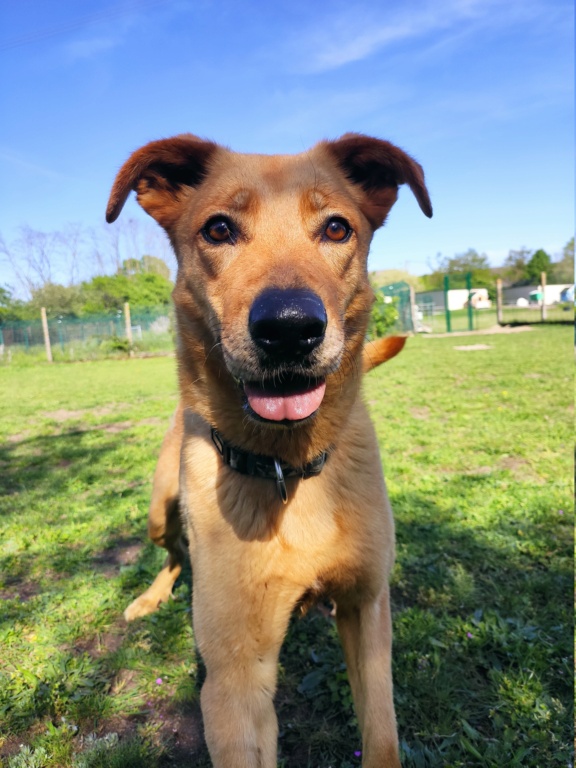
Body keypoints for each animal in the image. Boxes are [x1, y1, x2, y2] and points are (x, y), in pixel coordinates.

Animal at [107, 134, 432, 768]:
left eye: (336, 228)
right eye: (218, 229)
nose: (289, 328)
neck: (290, 465)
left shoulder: (367, 609)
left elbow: (382, 737)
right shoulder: (235, 680)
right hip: (159, 509)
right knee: (174, 552)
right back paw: (150, 598)